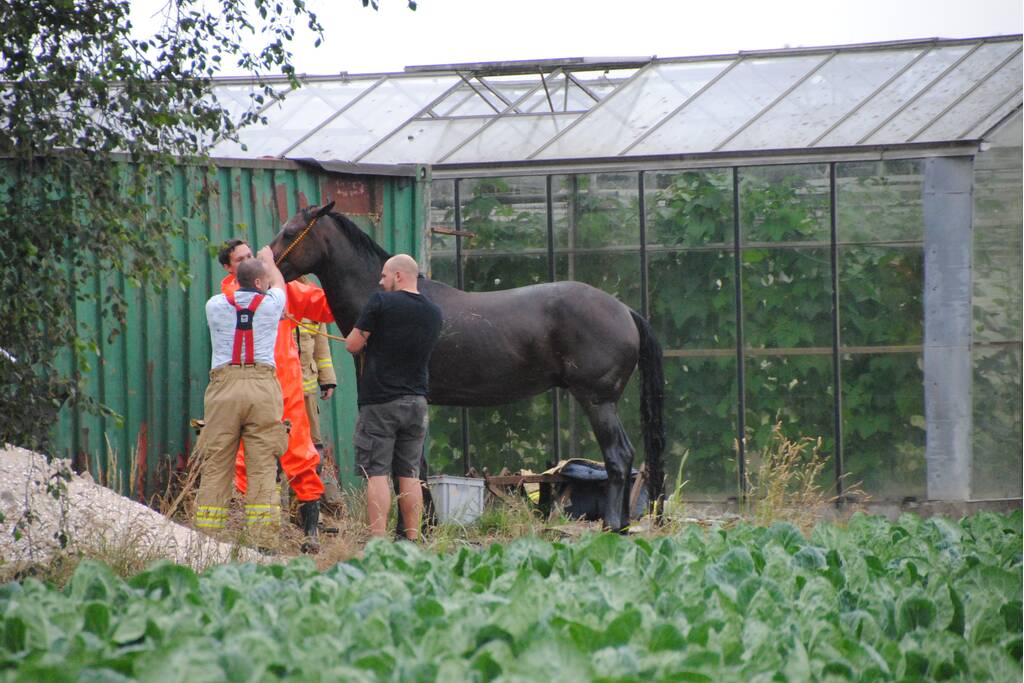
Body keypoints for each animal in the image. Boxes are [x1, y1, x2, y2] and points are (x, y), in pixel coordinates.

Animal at [269, 201, 665, 531]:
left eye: (289, 232)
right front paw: (426, 523)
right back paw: (624, 524)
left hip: (597, 401)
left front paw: (419, 526)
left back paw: (613, 524)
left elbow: (408, 469)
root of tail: (625, 311)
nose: (261, 263)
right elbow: (415, 467)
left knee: (618, 457)